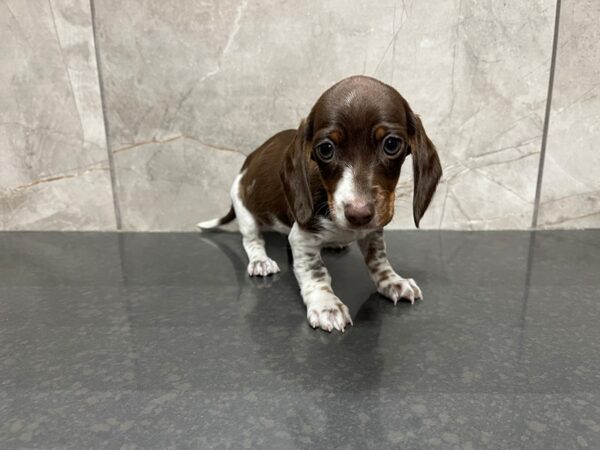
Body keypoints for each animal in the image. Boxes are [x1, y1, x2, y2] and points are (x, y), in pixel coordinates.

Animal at [197, 75, 440, 332]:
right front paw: (326, 305)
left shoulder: (372, 231)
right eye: (325, 149)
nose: (359, 214)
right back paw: (260, 260)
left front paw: (392, 281)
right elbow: (315, 272)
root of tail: (249, 160)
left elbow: (378, 259)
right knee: (252, 240)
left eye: (392, 144)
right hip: (243, 208)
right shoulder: (302, 236)